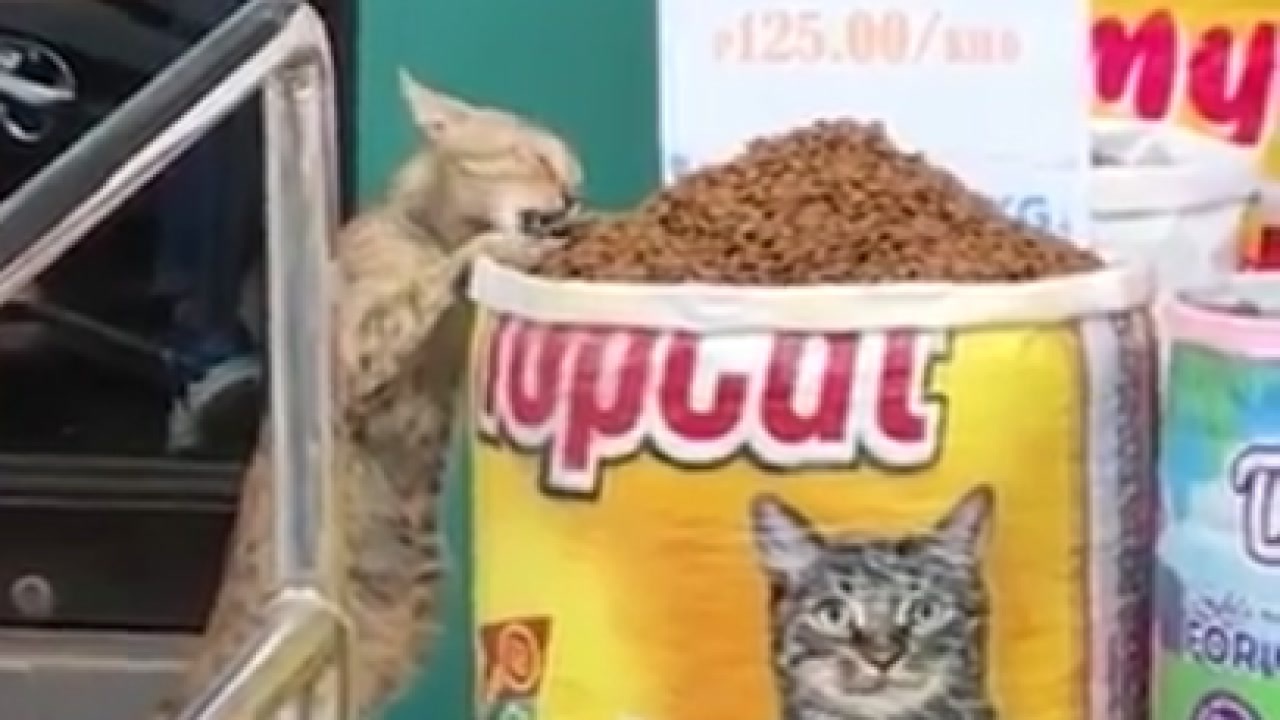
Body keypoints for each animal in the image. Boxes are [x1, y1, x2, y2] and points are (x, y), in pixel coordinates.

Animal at [155, 70, 582, 719]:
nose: (576, 194)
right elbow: (431, 282)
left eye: (572, 172)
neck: (428, 227)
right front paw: (490, 253)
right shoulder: (359, 350)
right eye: (533, 156)